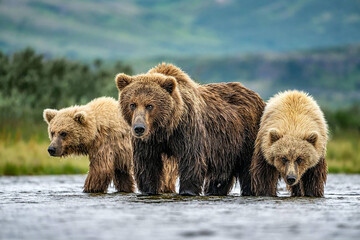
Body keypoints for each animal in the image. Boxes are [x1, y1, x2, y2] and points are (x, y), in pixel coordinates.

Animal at [43, 97, 177, 193]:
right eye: (52, 132)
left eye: (63, 133)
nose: (51, 149)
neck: (95, 132)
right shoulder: (120, 154)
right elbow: (122, 175)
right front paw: (126, 189)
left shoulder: (107, 143)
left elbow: (100, 169)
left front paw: (89, 189)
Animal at [115, 62, 264, 196]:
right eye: (132, 104)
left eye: (150, 105)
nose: (139, 128)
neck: (166, 128)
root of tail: (255, 95)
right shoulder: (148, 142)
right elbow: (147, 164)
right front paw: (149, 190)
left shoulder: (188, 129)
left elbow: (191, 160)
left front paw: (188, 191)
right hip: (226, 148)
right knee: (220, 176)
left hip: (247, 136)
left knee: (249, 170)